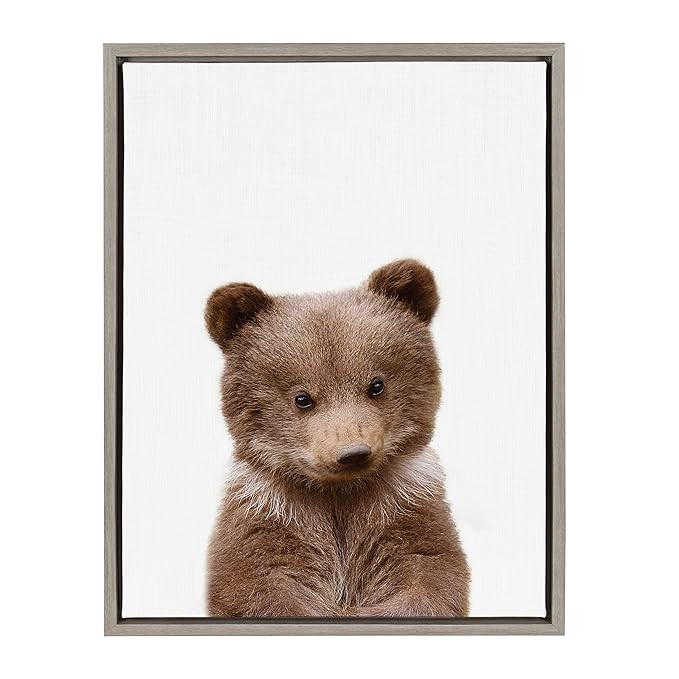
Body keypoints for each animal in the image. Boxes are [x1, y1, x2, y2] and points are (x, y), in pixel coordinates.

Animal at [204, 259, 470, 617]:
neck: (338, 493)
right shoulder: (267, 513)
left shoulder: (406, 506)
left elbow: (430, 575)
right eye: (302, 398)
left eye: (376, 384)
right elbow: (256, 584)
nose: (353, 452)